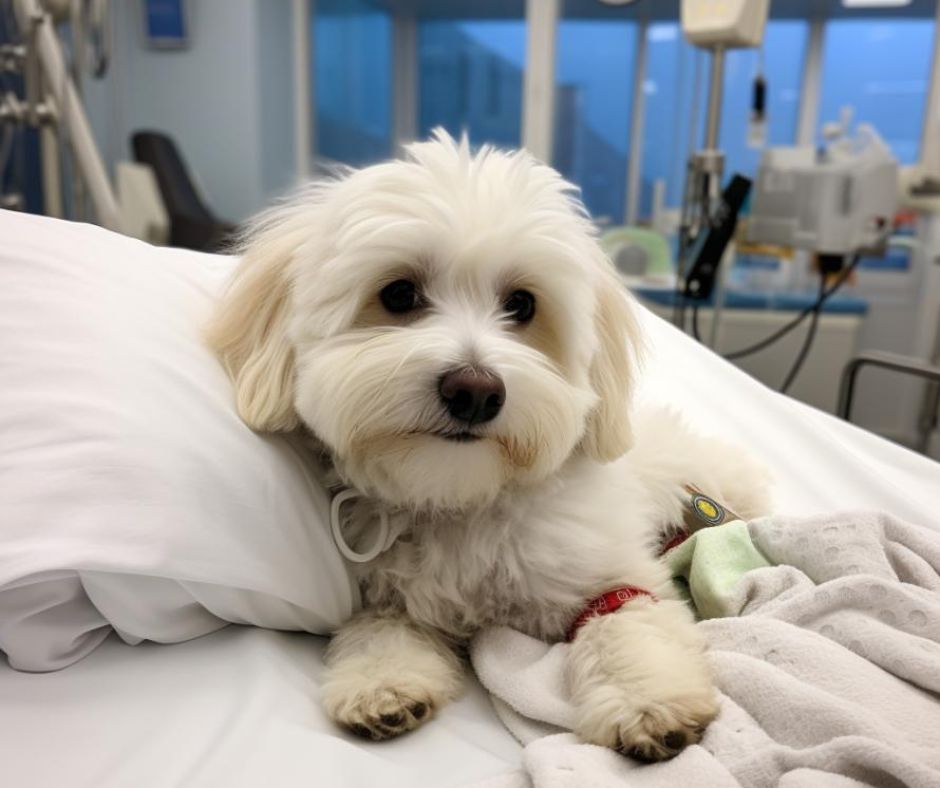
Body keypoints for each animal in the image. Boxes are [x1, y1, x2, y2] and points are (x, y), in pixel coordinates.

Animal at [207, 131, 772, 764]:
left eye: (522, 304)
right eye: (398, 294)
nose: (475, 391)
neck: (462, 499)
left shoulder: (609, 571)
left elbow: (627, 621)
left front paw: (647, 698)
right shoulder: (388, 595)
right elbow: (379, 630)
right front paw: (381, 683)